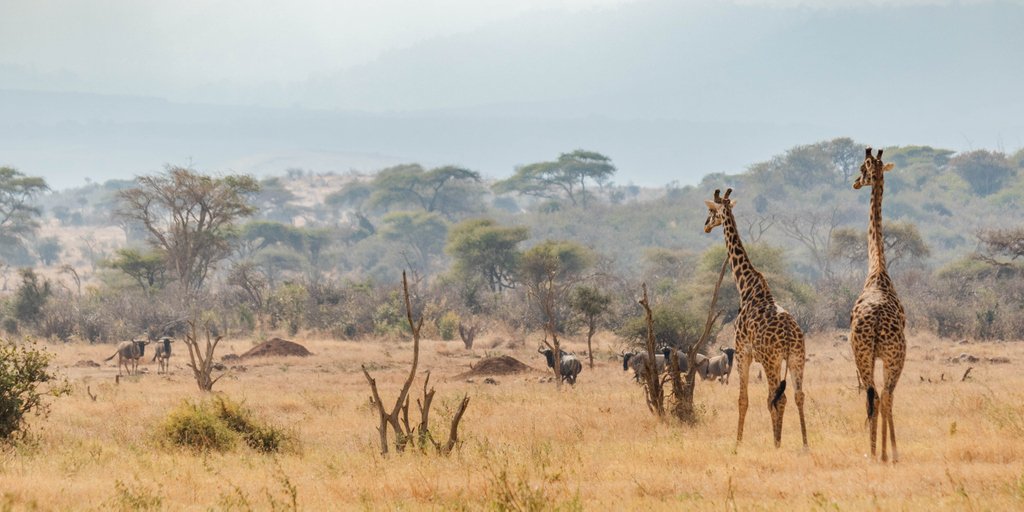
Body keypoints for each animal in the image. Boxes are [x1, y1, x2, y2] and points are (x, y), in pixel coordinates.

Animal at [704, 188, 808, 448]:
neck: (747, 287)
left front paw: (737, 443)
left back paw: (778, 444)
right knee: (798, 395)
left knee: (778, 398)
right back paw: (804, 443)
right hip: (796, 359)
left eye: (711, 211)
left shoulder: (743, 353)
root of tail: (790, 338)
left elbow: (743, 399)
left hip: (772, 361)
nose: (706, 225)